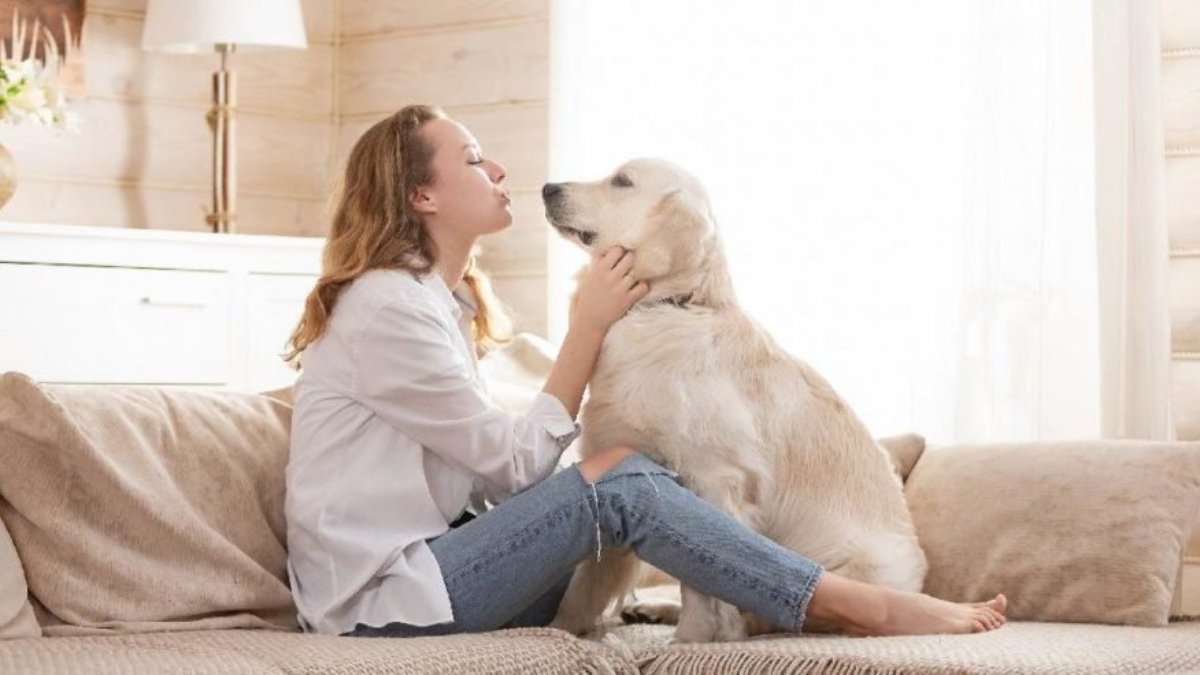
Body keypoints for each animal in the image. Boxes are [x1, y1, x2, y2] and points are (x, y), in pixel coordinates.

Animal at [541, 158, 928, 642]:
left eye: (622, 182)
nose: (547, 188)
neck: (670, 304)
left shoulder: (715, 477)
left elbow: (701, 582)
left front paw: (690, 640)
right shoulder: (622, 459)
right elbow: (588, 580)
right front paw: (559, 629)